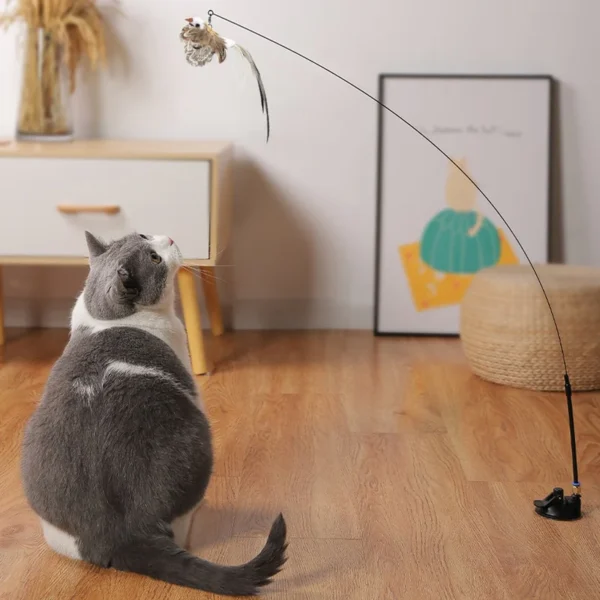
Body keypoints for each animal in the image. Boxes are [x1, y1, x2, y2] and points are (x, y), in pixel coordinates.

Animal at [21, 230, 288, 596]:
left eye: (143, 235)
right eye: (154, 258)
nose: (170, 238)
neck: (109, 318)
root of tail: (117, 535)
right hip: (194, 437)